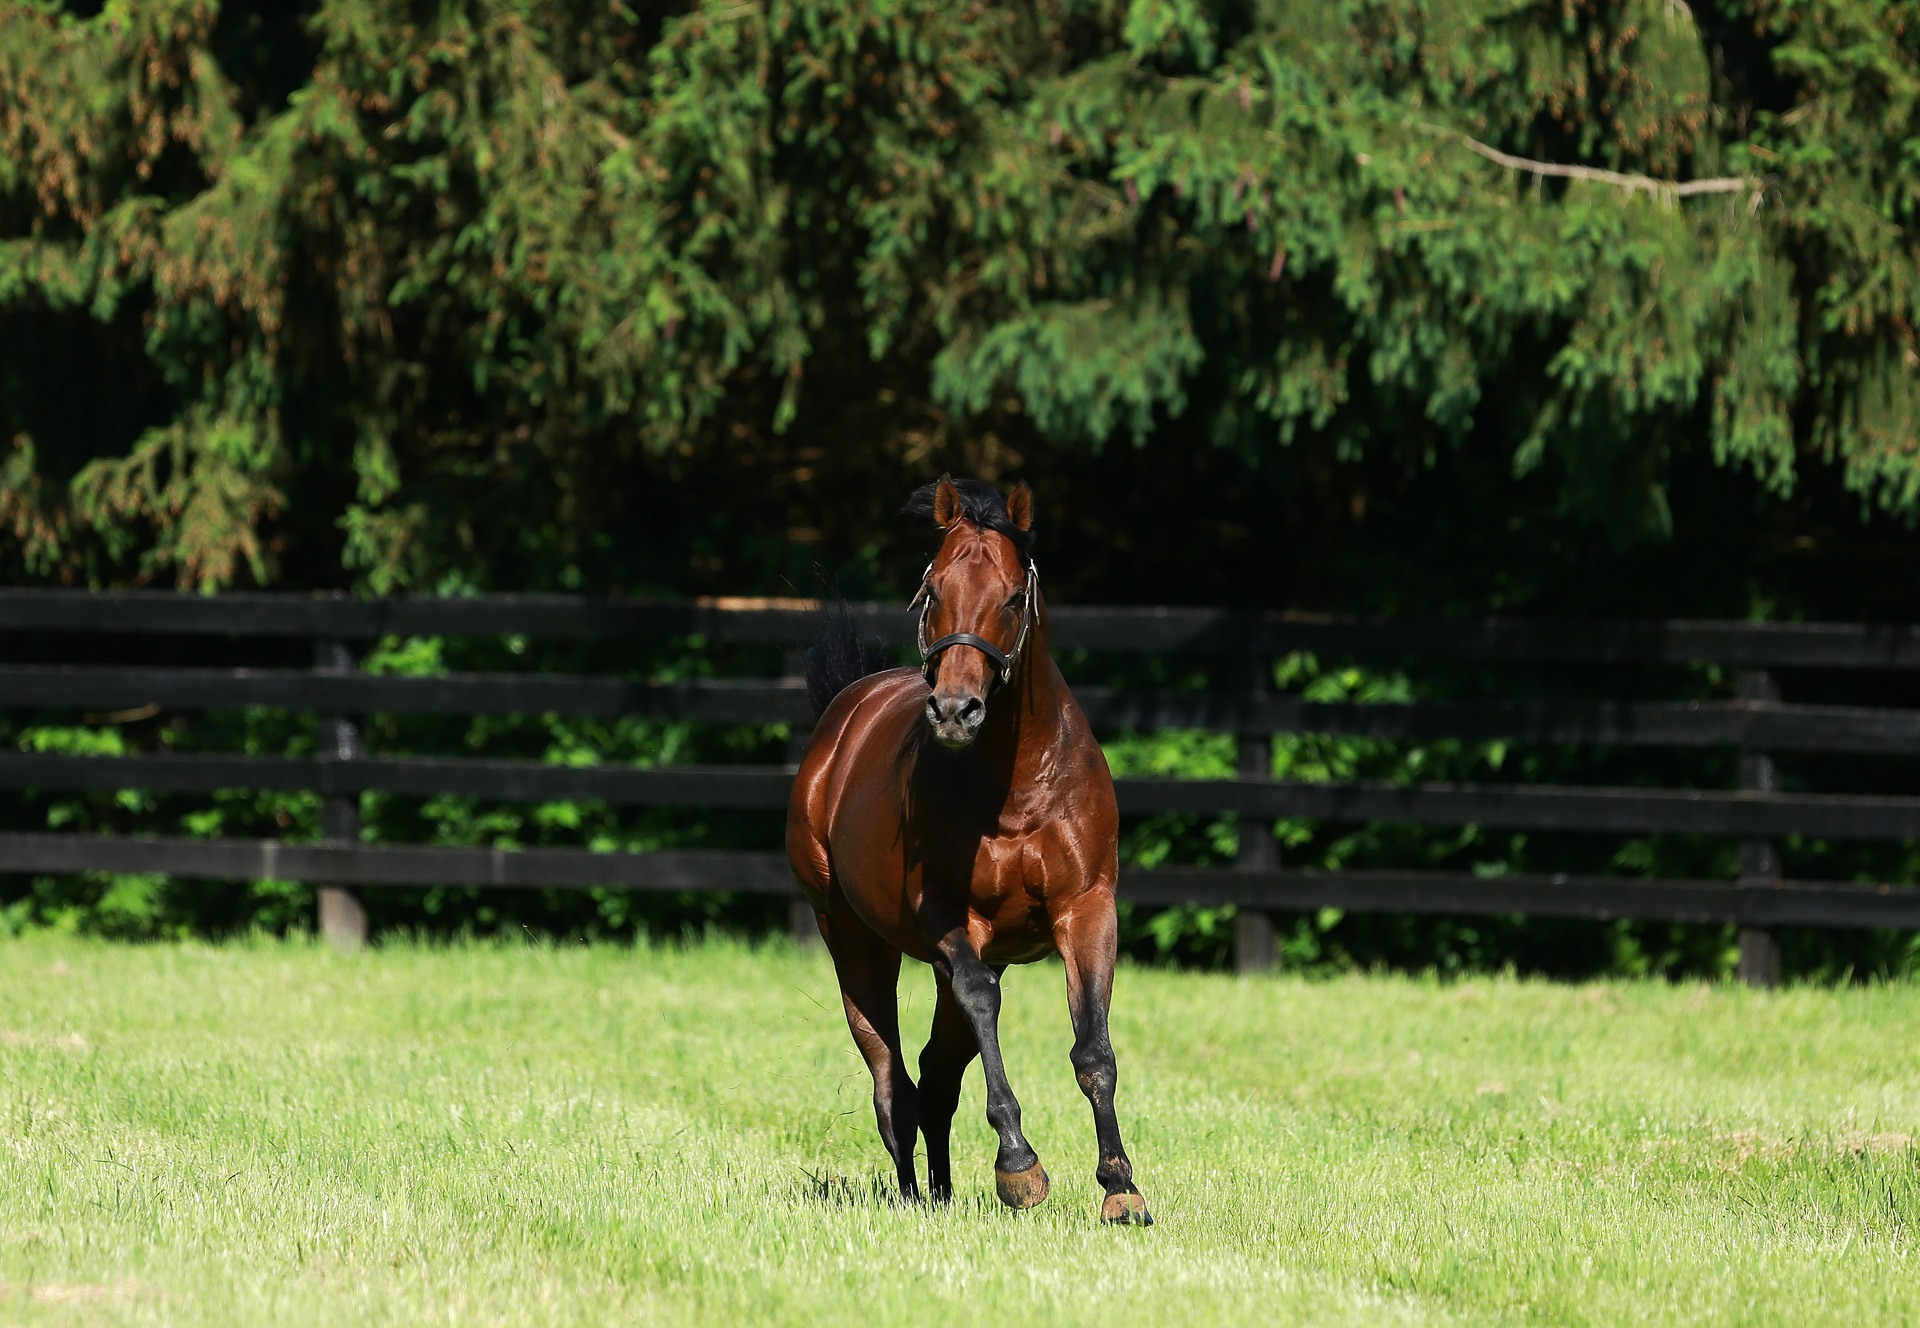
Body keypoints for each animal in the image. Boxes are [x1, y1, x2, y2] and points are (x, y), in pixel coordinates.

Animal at [783, 477, 1144, 1220]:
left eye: (1010, 597)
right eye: (932, 591)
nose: (954, 711)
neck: (1018, 783)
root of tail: (840, 719)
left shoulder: (1088, 909)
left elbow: (1093, 1050)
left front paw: (1122, 1189)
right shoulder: (950, 921)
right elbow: (983, 1001)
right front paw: (1020, 1167)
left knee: (935, 1074)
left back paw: (945, 1194)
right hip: (854, 942)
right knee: (893, 1077)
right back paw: (915, 1196)